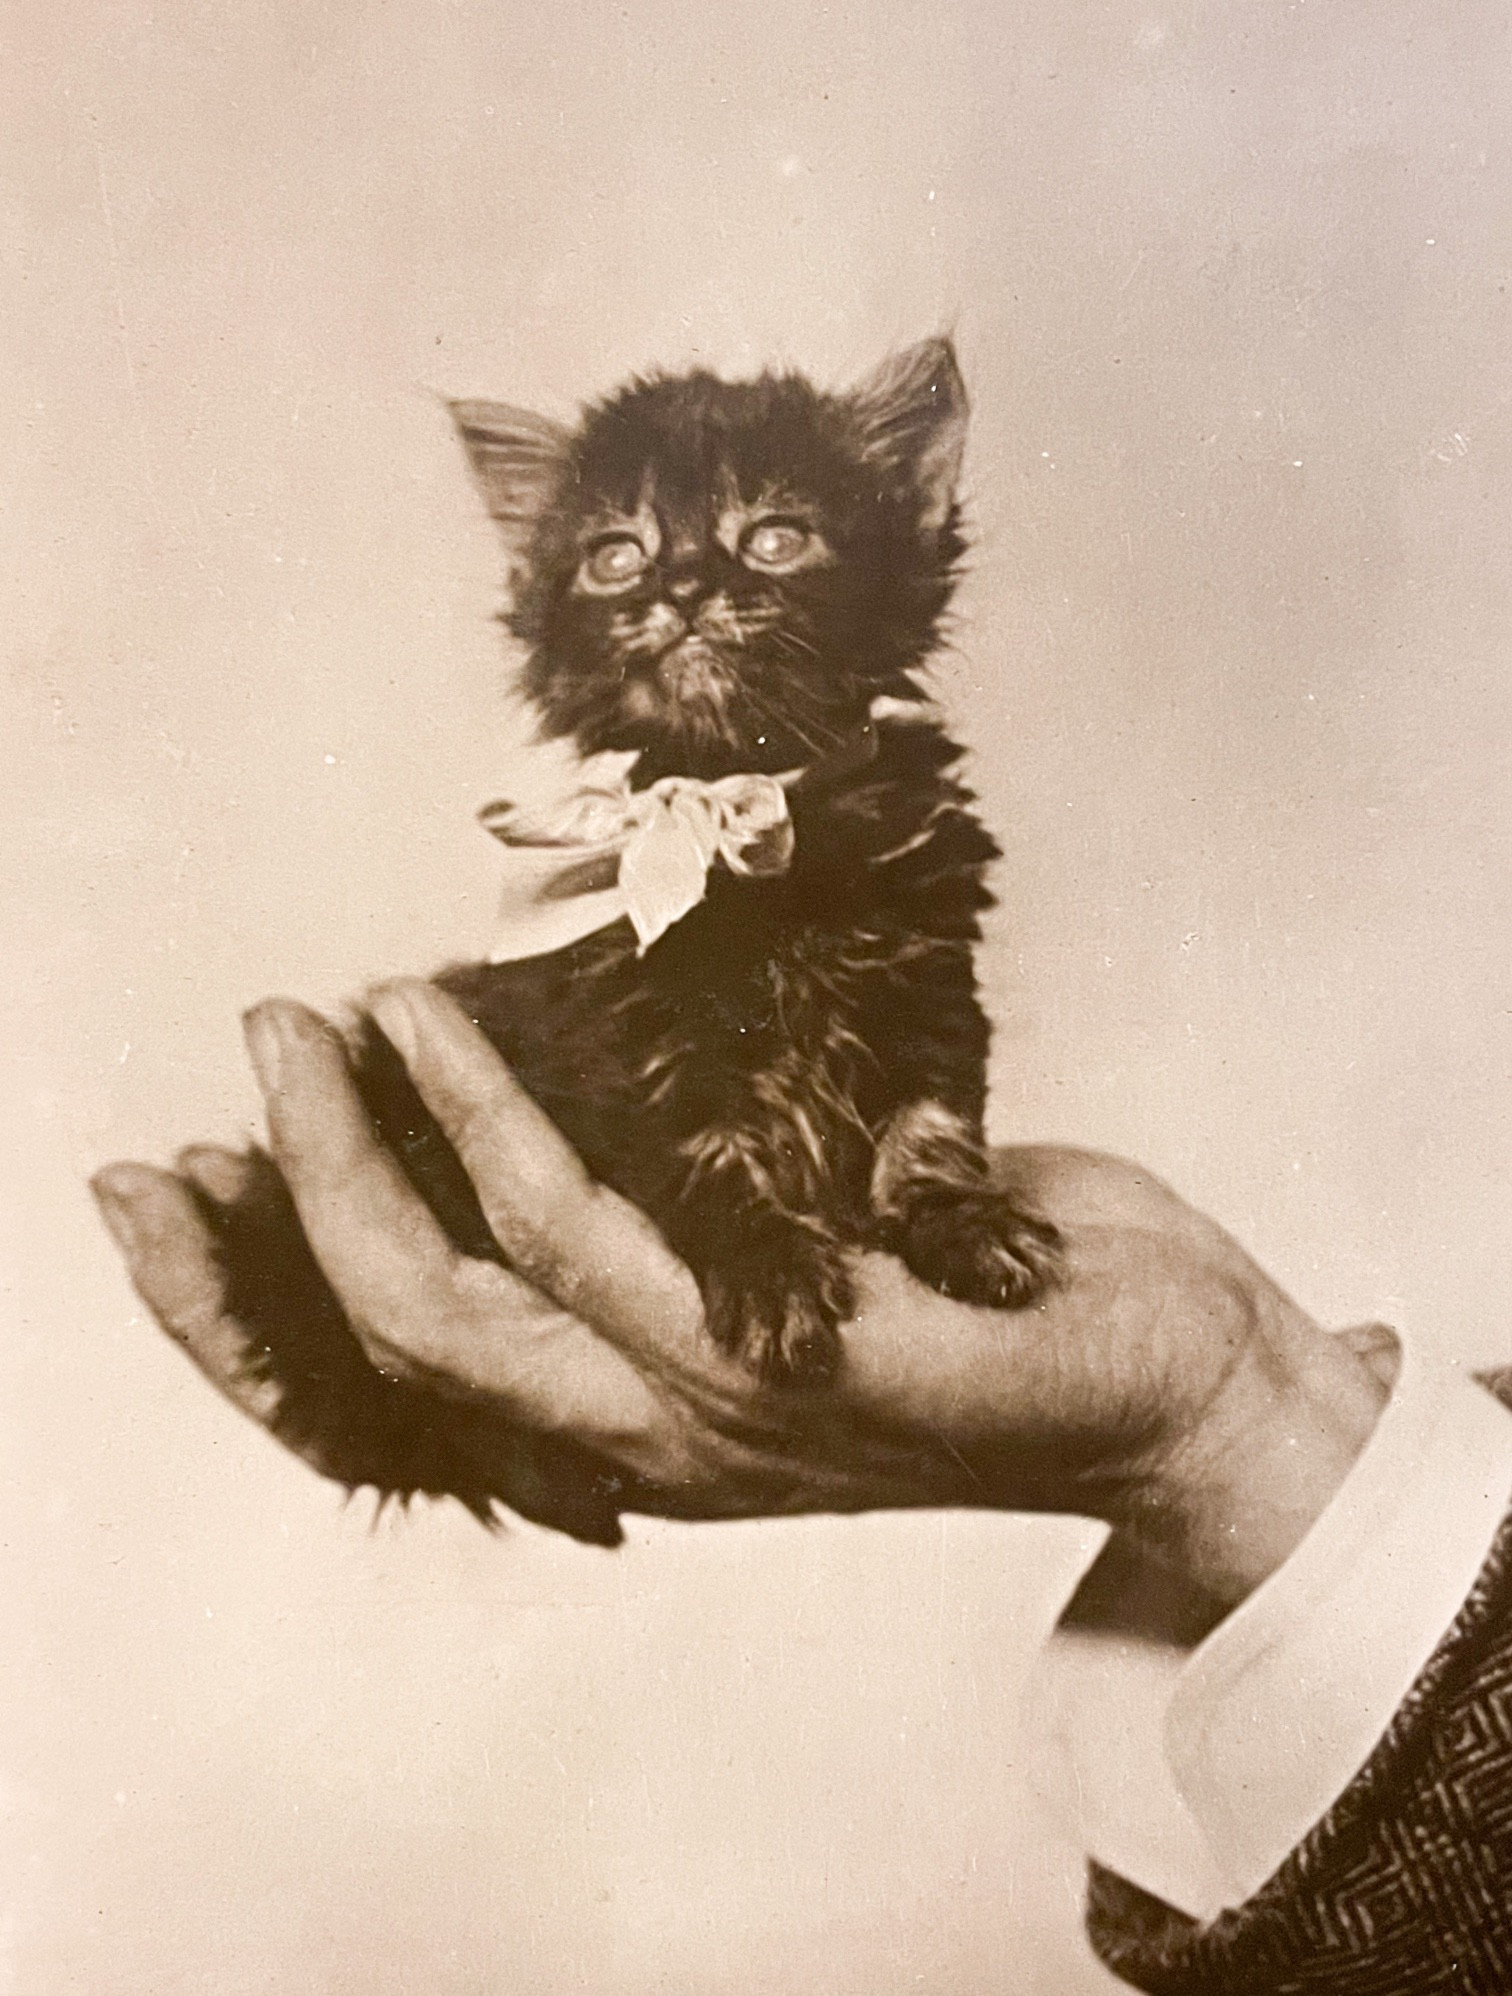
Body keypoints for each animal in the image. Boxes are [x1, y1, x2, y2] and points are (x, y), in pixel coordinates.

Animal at [201, 339, 1061, 1540]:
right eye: (616, 558)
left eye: (775, 537)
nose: (683, 587)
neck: (734, 804)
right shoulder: (618, 1025)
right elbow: (698, 1151)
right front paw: (768, 1272)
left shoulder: (929, 977)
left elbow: (931, 1121)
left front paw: (967, 1222)